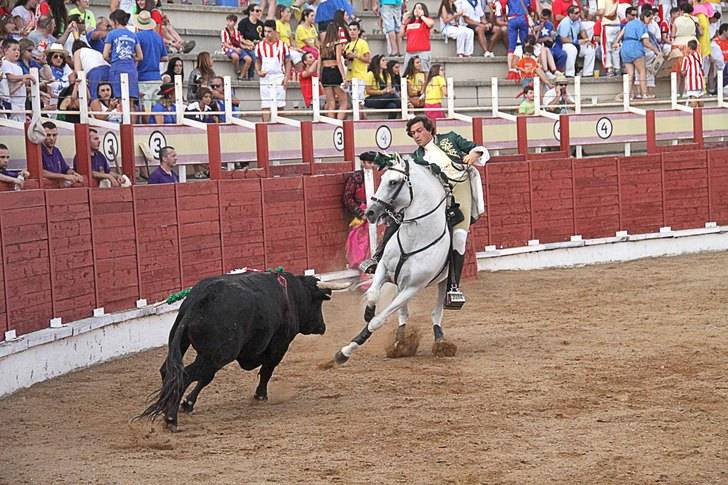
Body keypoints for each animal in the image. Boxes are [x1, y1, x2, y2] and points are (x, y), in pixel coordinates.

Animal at [138, 272, 334, 432]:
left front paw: (188, 404)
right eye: (318, 302)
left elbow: (206, 378)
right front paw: (260, 395)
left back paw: (167, 409)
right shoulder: (280, 345)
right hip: (220, 354)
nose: (322, 326)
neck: (292, 294)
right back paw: (171, 419)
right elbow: (267, 370)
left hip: (192, 347)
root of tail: (199, 301)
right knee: (185, 376)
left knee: (171, 372)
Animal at [334, 154, 456, 364]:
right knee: (403, 313)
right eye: (382, 178)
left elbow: (377, 321)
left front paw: (345, 352)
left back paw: (440, 342)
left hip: (442, 282)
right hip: (399, 282)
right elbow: (373, 295)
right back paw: (399, 341)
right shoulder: (383, 267)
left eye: (393, 182)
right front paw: (367, 312)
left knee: (436, 312)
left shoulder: (412, 288)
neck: (415, 238)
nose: (370, 212)